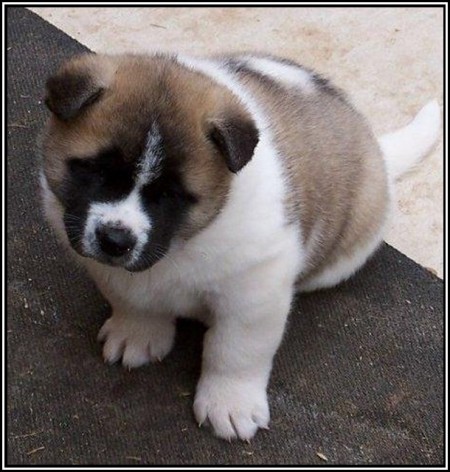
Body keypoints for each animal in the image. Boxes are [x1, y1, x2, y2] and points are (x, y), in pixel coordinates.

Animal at [40, 52, 440, 440]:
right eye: (97, 171)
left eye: (169, 195)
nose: (115, 240)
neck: (182, 245)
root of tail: (376, 148)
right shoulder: (111, 270)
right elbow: (132, 300)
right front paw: (137, 332)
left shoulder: (254, 293)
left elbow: (235, 351)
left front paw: (230, 403)